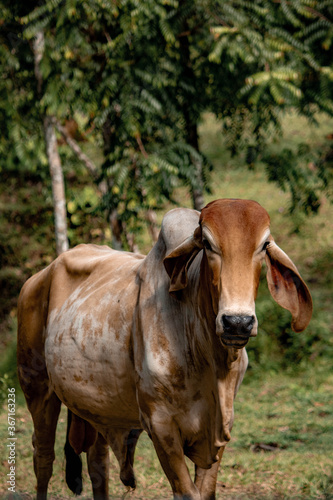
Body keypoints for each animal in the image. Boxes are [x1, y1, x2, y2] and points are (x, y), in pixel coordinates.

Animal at [16, 199, 312, 500]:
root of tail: (39, 276)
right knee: (43, 458)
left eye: (264, 245)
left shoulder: (221, 427)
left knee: (98, 464)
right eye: (207, 243)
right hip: (36, 385)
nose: (237, 323)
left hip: (98, 407)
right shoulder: (160, 426)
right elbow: (187, 493)